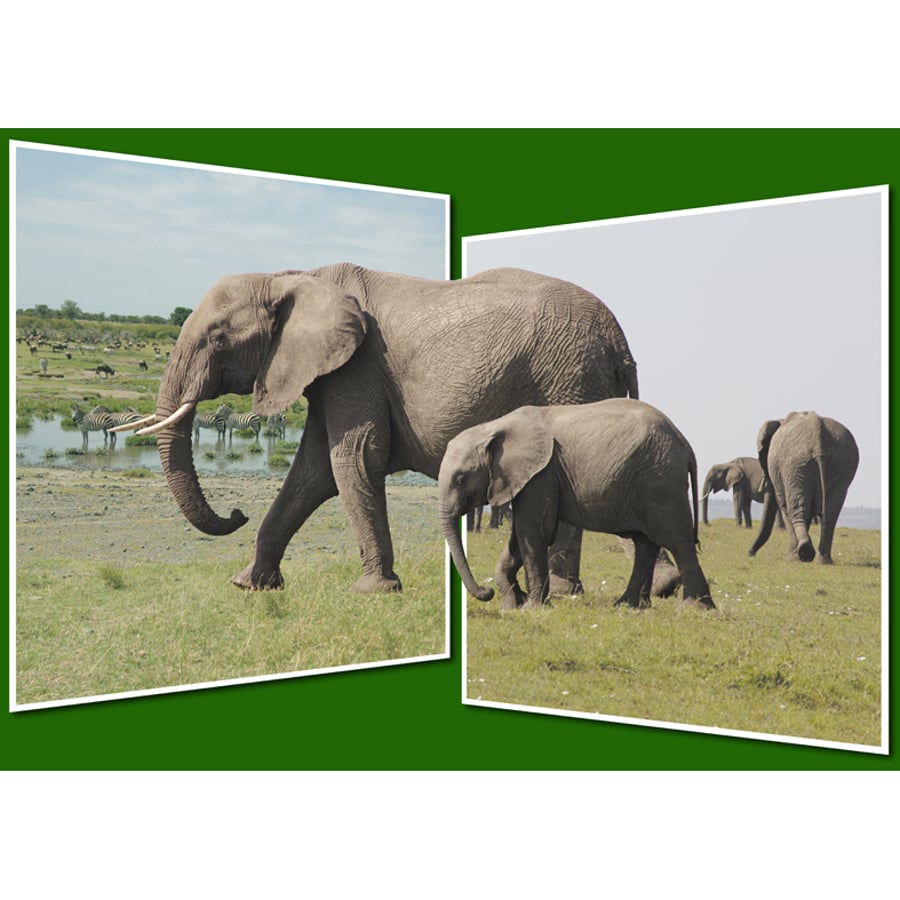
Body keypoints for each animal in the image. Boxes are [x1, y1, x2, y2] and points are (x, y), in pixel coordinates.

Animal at [112, 264, 640, 592]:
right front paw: (250, 585)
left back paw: (564, 592)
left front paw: (373, 591)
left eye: (218, 339)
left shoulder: (358, 366)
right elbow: (312, 473)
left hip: (570, 380)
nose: (237, 512)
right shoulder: (330, 374)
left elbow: (353, 457)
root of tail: (619, 340)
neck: (292, 277)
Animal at [438, 398, 714, 611]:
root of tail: (684, 443)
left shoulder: (541, 475)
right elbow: (520, 536)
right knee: (645, 543)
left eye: (461, 479)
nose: (486, 592)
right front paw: (512, 605)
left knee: (677, 540)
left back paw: (694, 608)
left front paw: (531, 608)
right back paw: (626, 606)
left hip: (659, 480)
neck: (493, 427)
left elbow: (533, 532)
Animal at [748, 411, 859, 563]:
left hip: (795, 466)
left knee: (796, 507)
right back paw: (823, 560)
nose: (751, 553)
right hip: (841, 464)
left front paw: (792, 558)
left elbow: (784, 505)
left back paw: (803, 553)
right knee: (831, 512)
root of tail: (819, 437)